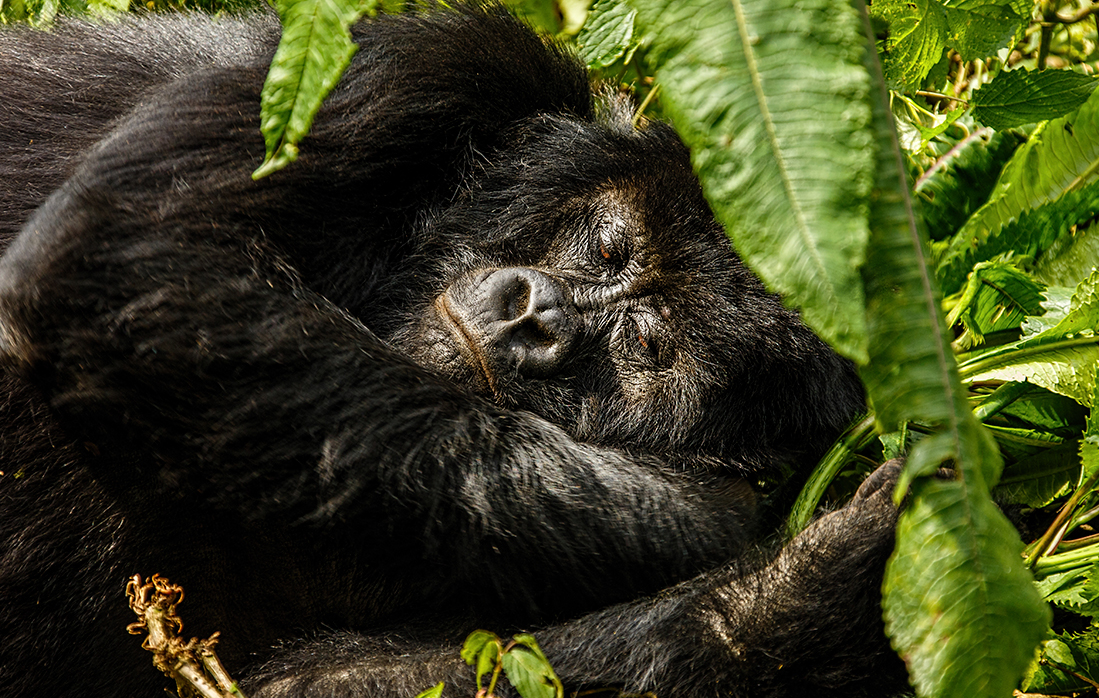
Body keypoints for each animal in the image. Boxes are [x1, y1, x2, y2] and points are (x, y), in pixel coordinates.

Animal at [0, 5, 905, 698]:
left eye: (648, 344)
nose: (536, 317)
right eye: (608, 248)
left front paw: (786, 601)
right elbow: (133, 251)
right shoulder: (435, 62)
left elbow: (332, 678)